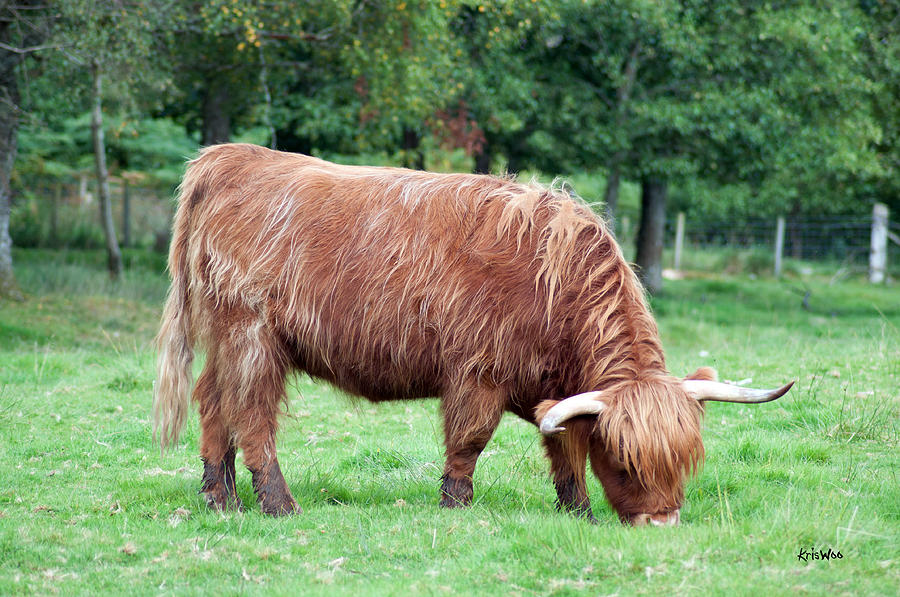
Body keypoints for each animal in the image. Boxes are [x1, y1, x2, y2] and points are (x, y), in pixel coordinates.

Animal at [156, 143, 796, 520]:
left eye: (686, 460)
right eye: (625, 461)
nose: (659, 522)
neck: (555, 288)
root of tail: (232, 156)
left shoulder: (557, 390)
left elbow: (565, 448)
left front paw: (578, 512)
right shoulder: (477, 373)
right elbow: (469, 441)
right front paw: (455, 504)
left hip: (228, 338)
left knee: (213, 402)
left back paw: (219, 496)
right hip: (253, 336)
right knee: (251, 415)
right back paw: (277, 503)